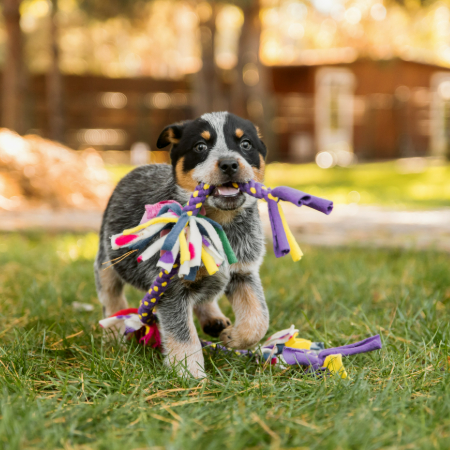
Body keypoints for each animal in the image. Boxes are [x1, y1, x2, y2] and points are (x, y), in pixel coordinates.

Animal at [94, 111, 268, 376]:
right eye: (200, 146)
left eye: (246, 144)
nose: (229, 164)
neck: (219, 223)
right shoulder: (171, 286)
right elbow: (184, 335)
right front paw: (191, 374)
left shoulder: (244, 272)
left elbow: (258, 320)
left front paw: (234, 338)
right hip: (107, 258)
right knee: (111, 296)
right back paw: (114, 334)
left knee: (206, 294)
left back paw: (214, 318)